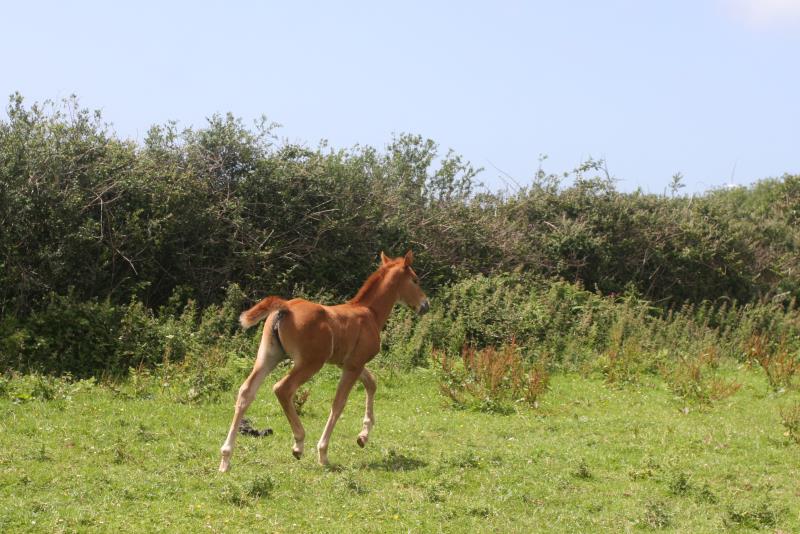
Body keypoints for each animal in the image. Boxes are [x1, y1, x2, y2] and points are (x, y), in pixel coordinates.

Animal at [219, 251, 428, 474]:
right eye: (415, 280)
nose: (426, 305)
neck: (369, 312)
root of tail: (285, 307)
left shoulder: (349, 363)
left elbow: (371, 383)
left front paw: (363, 436)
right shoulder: (354, 365)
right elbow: (339, 403)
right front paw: (323, 452)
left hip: (268, 356)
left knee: (246, 391)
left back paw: (225, 457)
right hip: (310, 363)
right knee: (282, 388)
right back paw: (299, 443)